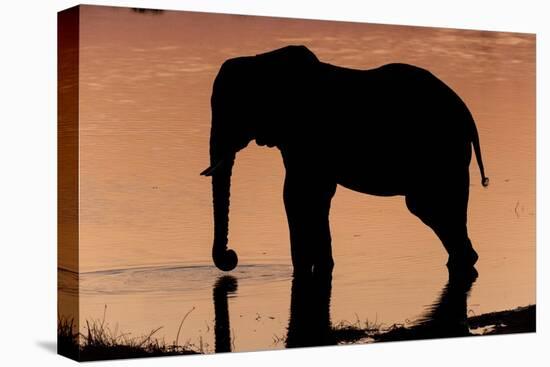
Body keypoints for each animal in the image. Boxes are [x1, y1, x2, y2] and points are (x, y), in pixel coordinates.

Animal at [202, 45, 488, 276]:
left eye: (237, 107)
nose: (231, 257)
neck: (261, 60)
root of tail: (468, 115)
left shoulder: (307, 134)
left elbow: (298, 194)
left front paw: (305, 269)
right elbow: (311, 195)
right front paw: (321, 269)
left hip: (442, 153)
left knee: (430, 205)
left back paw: (462, 261)